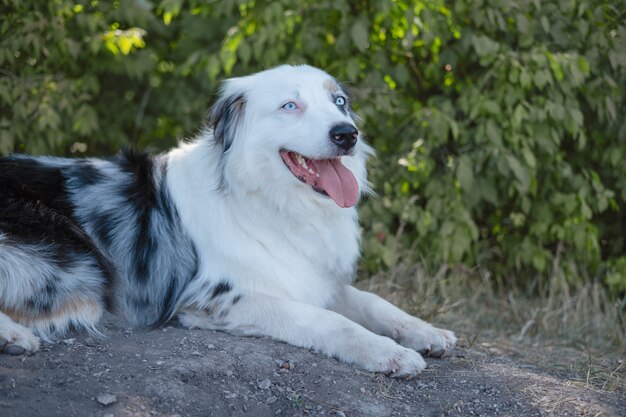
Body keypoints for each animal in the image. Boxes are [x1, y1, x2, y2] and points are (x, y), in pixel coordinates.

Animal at [0, 63, 454, 376]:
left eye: (338, 102)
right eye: (290, 105)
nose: (347, 134)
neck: (269, 201)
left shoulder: (312, 276)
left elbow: (372, 301)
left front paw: (425, 331)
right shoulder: (215, 297)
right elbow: (327, 320)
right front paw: (389, 352)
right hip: (76, 266)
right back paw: (14, 336)